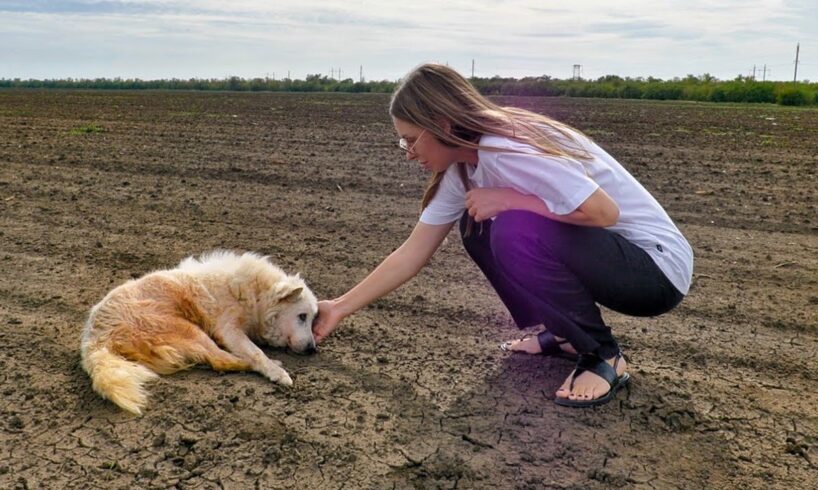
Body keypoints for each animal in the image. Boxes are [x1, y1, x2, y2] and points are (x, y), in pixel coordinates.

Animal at [79, 251, 316, 416]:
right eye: (302, 316)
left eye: (313, 319)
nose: (312, 350)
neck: (256, 294)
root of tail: (95, 340)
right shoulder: (228, 329)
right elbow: (256, 353)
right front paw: (277, 372)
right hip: (191, 330)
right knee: (221, 361)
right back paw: (271, 364)